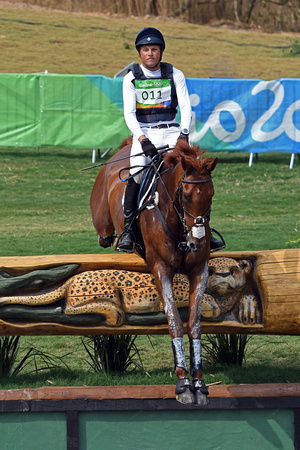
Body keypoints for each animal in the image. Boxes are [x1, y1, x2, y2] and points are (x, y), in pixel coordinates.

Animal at [89, 140, 218, 404]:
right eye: (185, 195)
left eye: (211, 194)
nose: (198, 242)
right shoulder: (161, 269)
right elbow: (175, 321)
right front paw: (183, 384)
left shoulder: (199, 270)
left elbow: (194, 323)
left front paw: (199, 384)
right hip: (103, 225)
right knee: (104, 236)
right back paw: (121, 239)